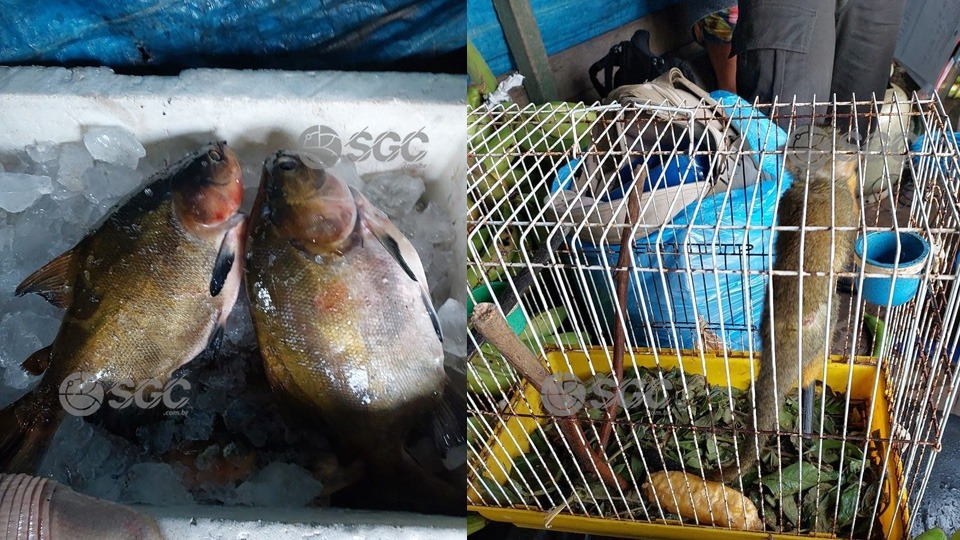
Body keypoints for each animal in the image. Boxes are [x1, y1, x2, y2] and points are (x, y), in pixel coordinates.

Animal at [712, 152, 860, 483]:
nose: (855, 156)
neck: (819, 180)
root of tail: (782, 334)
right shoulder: (844, 204)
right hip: (817, 330)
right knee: (831, 308)